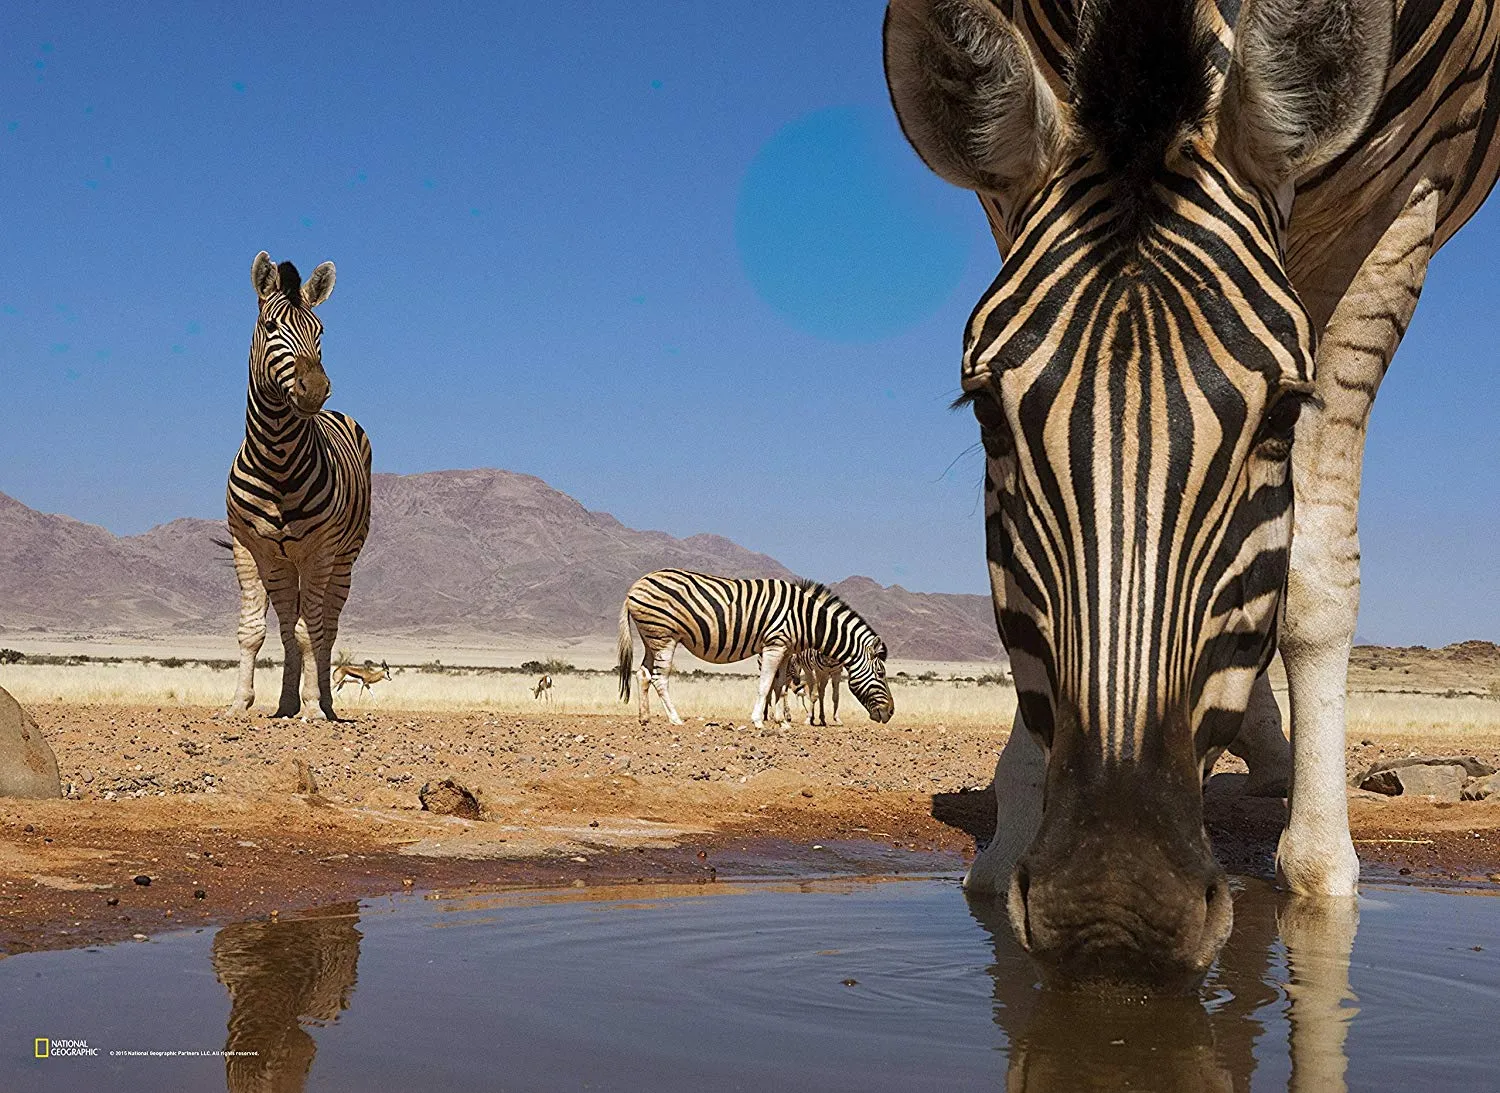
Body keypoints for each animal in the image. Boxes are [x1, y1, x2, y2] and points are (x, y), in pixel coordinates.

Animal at [221, 252, 372, 722]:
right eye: (270, 327)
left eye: (320, 331)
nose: (315, 390)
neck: (277, 456)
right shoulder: (247, 546)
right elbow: (253, 630)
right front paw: (239, 702)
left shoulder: (320, 552)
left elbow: (313, 632)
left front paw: (313, 709)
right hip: (282, 563)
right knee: (288, 622)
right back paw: (286, 703)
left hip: (341, 560)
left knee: (326, 626)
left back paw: (321, 701)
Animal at [616, 569, 894, 727]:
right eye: (881, 674)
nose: (890, 712)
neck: (806, 619)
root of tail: (634, 586)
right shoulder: (774, 645)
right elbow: (766, 684)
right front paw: (759, 721)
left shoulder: (786, 650)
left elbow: (780, 686)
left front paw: (782, 722)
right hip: (665, 636)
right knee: (659, 678)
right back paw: (675, 719)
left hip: (651, 637)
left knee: (643, 674)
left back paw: (644, 718)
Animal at [884, 0, 1500, 991]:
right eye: (984, 411)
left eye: (1284, 414)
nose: (1112, 908)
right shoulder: (1021, 171)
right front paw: (1013, 817)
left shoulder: (1411, 192)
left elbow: (1315, 568)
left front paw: (1323, 868)